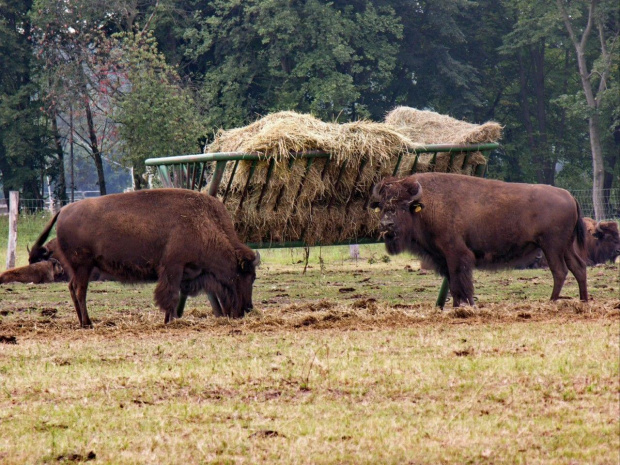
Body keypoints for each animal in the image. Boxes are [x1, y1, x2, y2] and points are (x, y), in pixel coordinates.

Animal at [29, 188, 260, 326]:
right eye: (245, 275)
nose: (247, 309)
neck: (204, 225)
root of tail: (63, 210)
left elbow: (176, 296)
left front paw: (170, 319)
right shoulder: (173, 268)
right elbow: (170, 296)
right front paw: (170, 321)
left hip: (79, 268)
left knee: (72, 288)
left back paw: (82, 322)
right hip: (83, 266)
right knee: (80, 290)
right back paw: (88, 323)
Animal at [370, 172, 588, 306]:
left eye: (402, 206)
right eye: (382, 206)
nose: (386, 225)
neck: (427, 204)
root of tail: (569, 195)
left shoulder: (457, 254)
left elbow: (462, 282)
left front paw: (469, 305)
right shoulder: (443, 258)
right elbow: (453, 284)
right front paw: (457, 306)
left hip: (552, 247)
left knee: (560, 271)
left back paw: (552, 301)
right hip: (566, 246)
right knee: (578, 267)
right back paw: (583, 301)